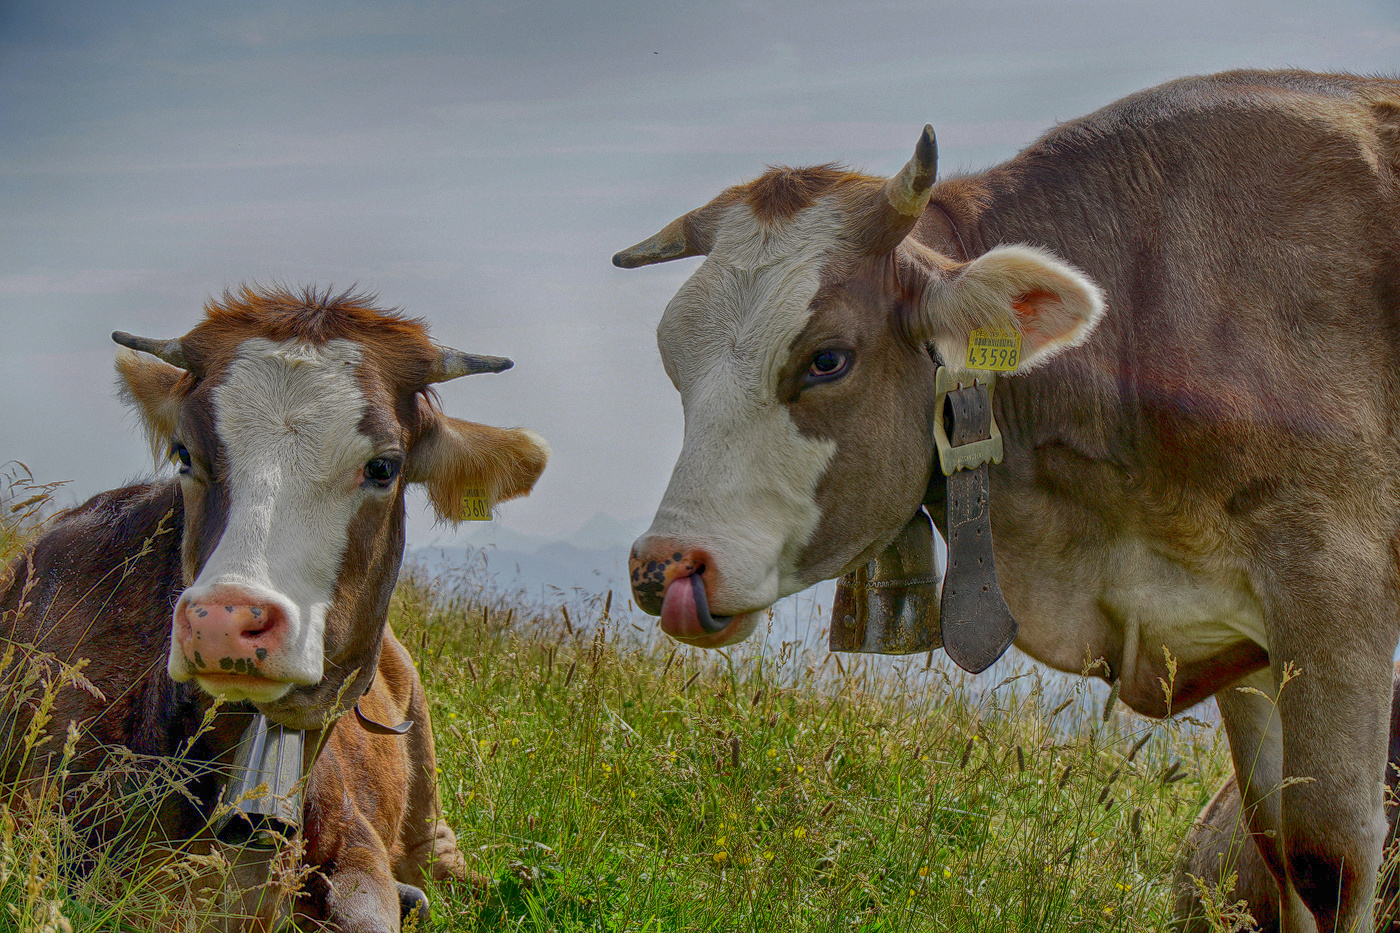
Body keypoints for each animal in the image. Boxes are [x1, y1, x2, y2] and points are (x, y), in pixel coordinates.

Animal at [618, 72, 1400, 930]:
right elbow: (1275, 844)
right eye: (672, 359)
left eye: (827, 359)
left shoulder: (1333, 588)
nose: (665, 567)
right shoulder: (1239, 638)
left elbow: (1329, 853)